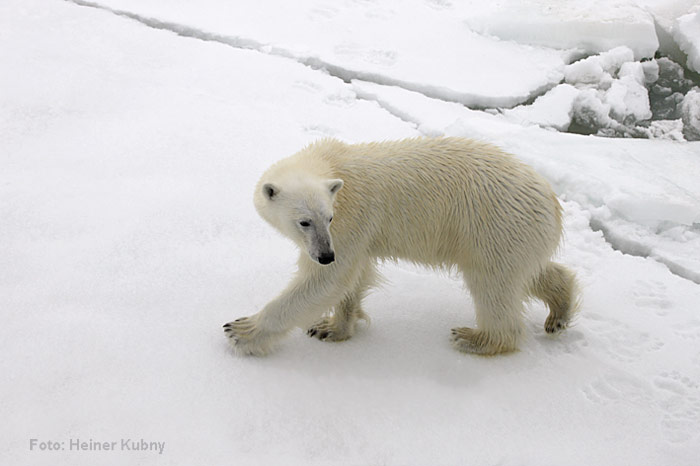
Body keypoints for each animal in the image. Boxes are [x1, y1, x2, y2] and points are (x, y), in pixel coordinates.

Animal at [224, 137, 580, 354]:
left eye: (328, 217)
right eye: (304, 222)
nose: (325, 254)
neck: (332, 161)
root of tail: (551, 200)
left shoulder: (350, 218)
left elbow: (327, 280)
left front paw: (241, 330)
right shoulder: (356, 231)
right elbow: (352, 276)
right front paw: (331, 327)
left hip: (495, 227)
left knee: (493, 285)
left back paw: (475, 338)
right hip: (513, 235)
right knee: (529, 273)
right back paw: (558, 312)